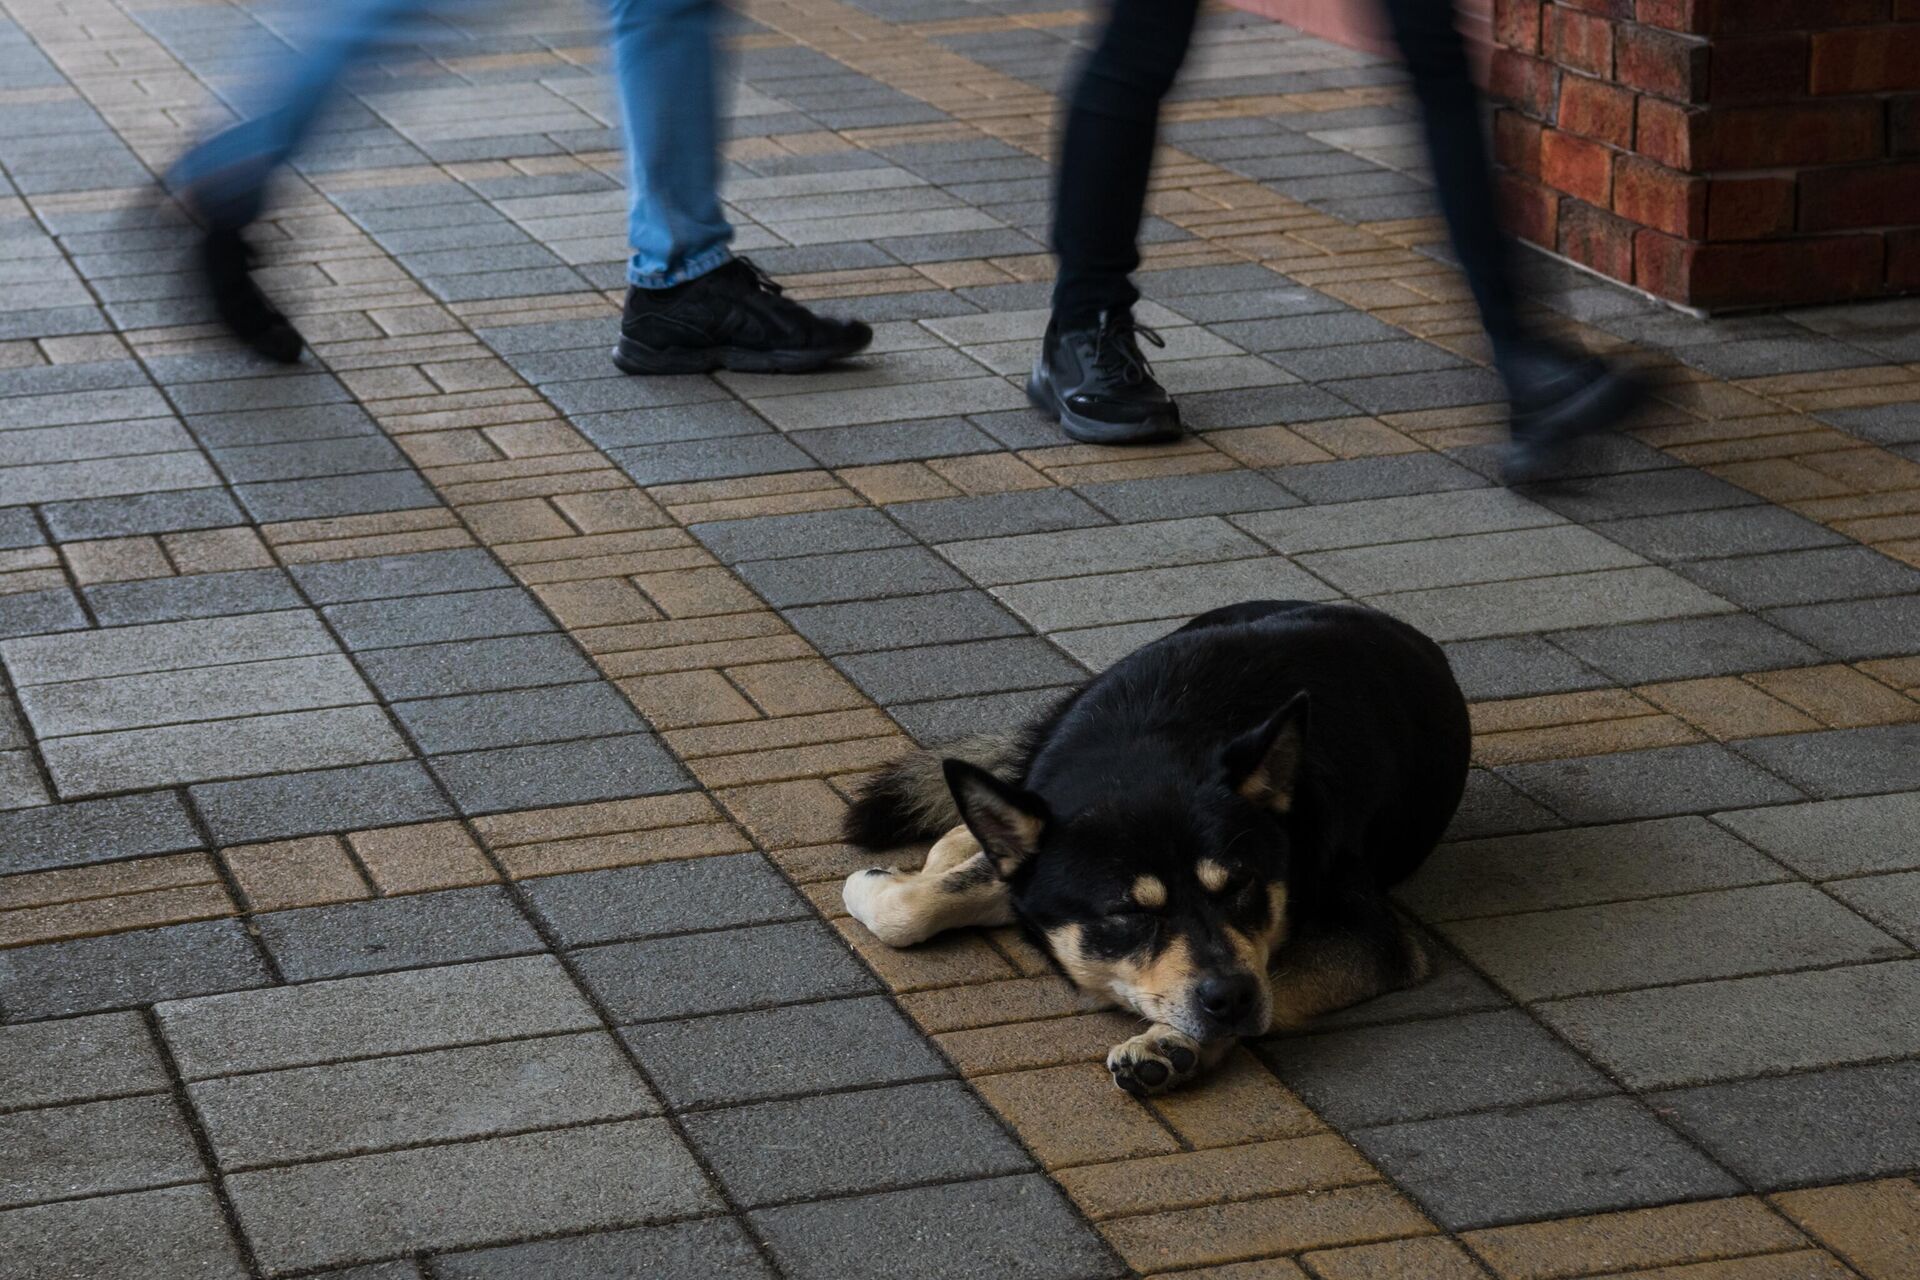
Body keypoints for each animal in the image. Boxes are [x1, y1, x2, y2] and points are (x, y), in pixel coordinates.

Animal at [840, 602, 1466, 1105]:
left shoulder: (1372, 939)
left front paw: (1173, 1046)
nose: (1231, 998)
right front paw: (893, 883)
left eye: (1240, 886)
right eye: (1129, 913)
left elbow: (1276, 981)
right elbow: (909, 907)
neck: (1151, 749)